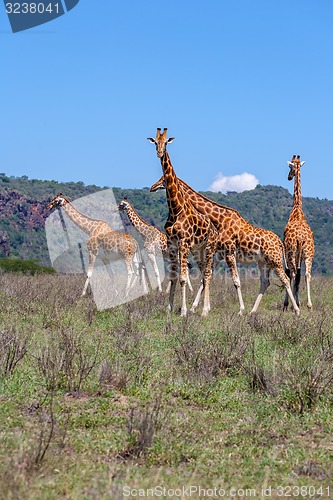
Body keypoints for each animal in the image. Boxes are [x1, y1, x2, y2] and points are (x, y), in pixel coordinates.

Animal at [147, 129, 217, 316]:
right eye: (155, 142)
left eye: (166, 143)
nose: (159, 153)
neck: (175, 208)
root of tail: (216, 230)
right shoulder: (172, 243)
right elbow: (173, 277)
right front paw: (169, 308)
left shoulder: (183, 243)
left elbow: (183, 278)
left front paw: (183, 311)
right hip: (198, 250)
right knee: (204, 273)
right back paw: (202, 307)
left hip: (209, 248)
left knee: (208, 274)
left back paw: (204, 310)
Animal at [149, 174, 300, 314]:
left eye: (162, 179)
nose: (152, 187)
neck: (218, 219)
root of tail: (280, 243)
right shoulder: (218, 254)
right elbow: (205, 278)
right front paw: (194, 308)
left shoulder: (229, 251)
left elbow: (235, 280)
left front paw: (240, 310)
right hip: (263, 262)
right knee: (265, 282)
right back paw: (252, 311)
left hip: (275, 260)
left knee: (285, 279)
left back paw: (296, 310)